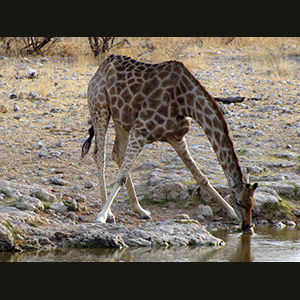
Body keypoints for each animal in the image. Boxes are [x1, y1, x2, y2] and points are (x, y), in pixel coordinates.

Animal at [82, 53, 258, 232]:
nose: (248, 226)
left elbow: (201, 177)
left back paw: (140, 210)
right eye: (239, 202)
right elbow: (120, 177)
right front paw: (101, 216)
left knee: (117, 153)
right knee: (100, 156)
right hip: (100, 107)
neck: (186, 102)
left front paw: (231, 213)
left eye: (253, 203)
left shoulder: (176, 137)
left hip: (121, 119)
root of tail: (101, 68)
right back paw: (110, 214)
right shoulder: (140, 131)